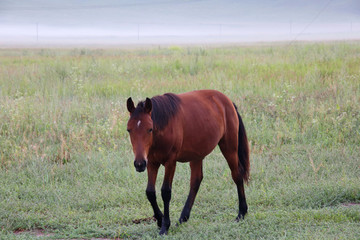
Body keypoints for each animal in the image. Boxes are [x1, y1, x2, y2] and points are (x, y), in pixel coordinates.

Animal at [127, 89, 250, 234]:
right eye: (129, 130)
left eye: (150, 129)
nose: (139, 164)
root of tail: (228, 101)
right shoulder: (152, 162)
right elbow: (150, 192)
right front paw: (160, 220)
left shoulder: (170, 162)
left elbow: (165, 192)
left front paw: (165, 226)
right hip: (197, 155)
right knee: (196, 181)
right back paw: (183, 218)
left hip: (229, 147)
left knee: (237, 175)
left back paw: (241, 213)